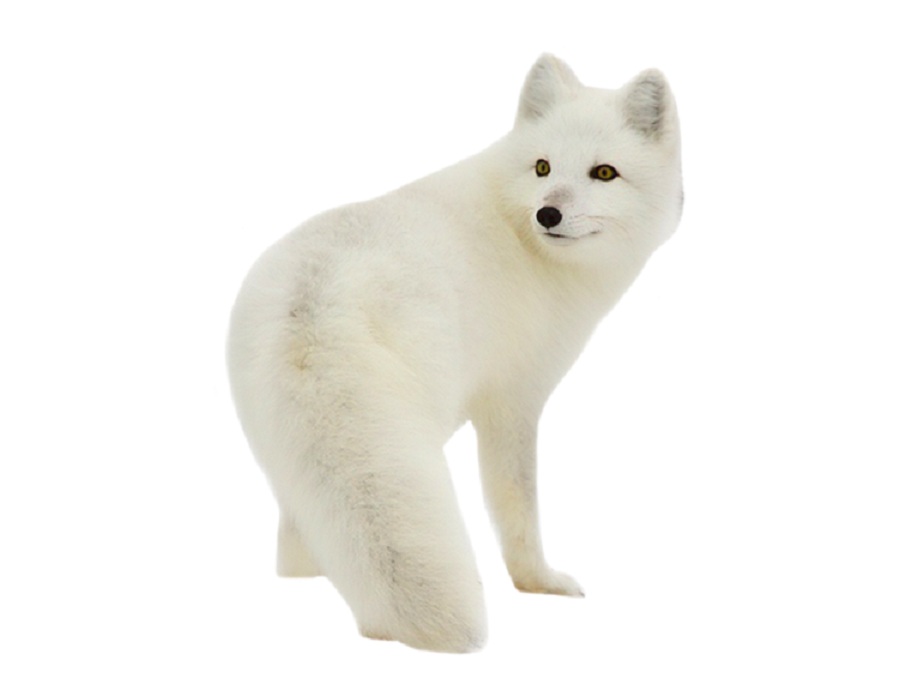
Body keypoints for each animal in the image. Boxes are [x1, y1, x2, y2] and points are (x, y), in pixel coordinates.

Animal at [227, 54, 683, 652]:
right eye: (542, 168)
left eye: (603, 173)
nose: (548, 215)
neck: (522, 240)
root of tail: (315, 301)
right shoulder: (514, 403)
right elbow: (519, 510)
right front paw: (538, 582)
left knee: (296, 540)